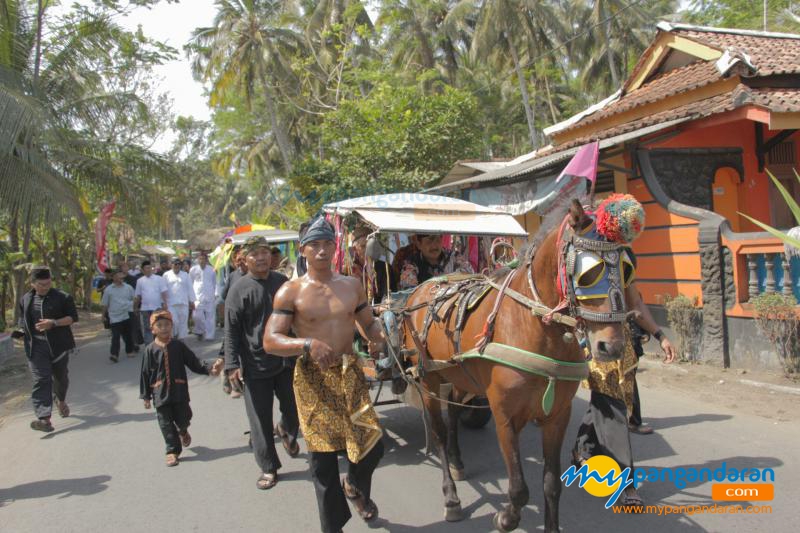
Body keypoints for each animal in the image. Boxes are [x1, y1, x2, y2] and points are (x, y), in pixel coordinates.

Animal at [396, 201, 636, 532]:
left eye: (627, 269)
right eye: (589, 271)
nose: (611, 346)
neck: (533, 324)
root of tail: (419, 291)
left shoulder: (557, 416)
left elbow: (552, 484)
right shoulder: (505, 417)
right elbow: (520, 489)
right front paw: (506, 517)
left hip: (460, 374)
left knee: (455, 410)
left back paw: (457, 461)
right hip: (429, 377)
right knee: (440, 431)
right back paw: (451, 496)